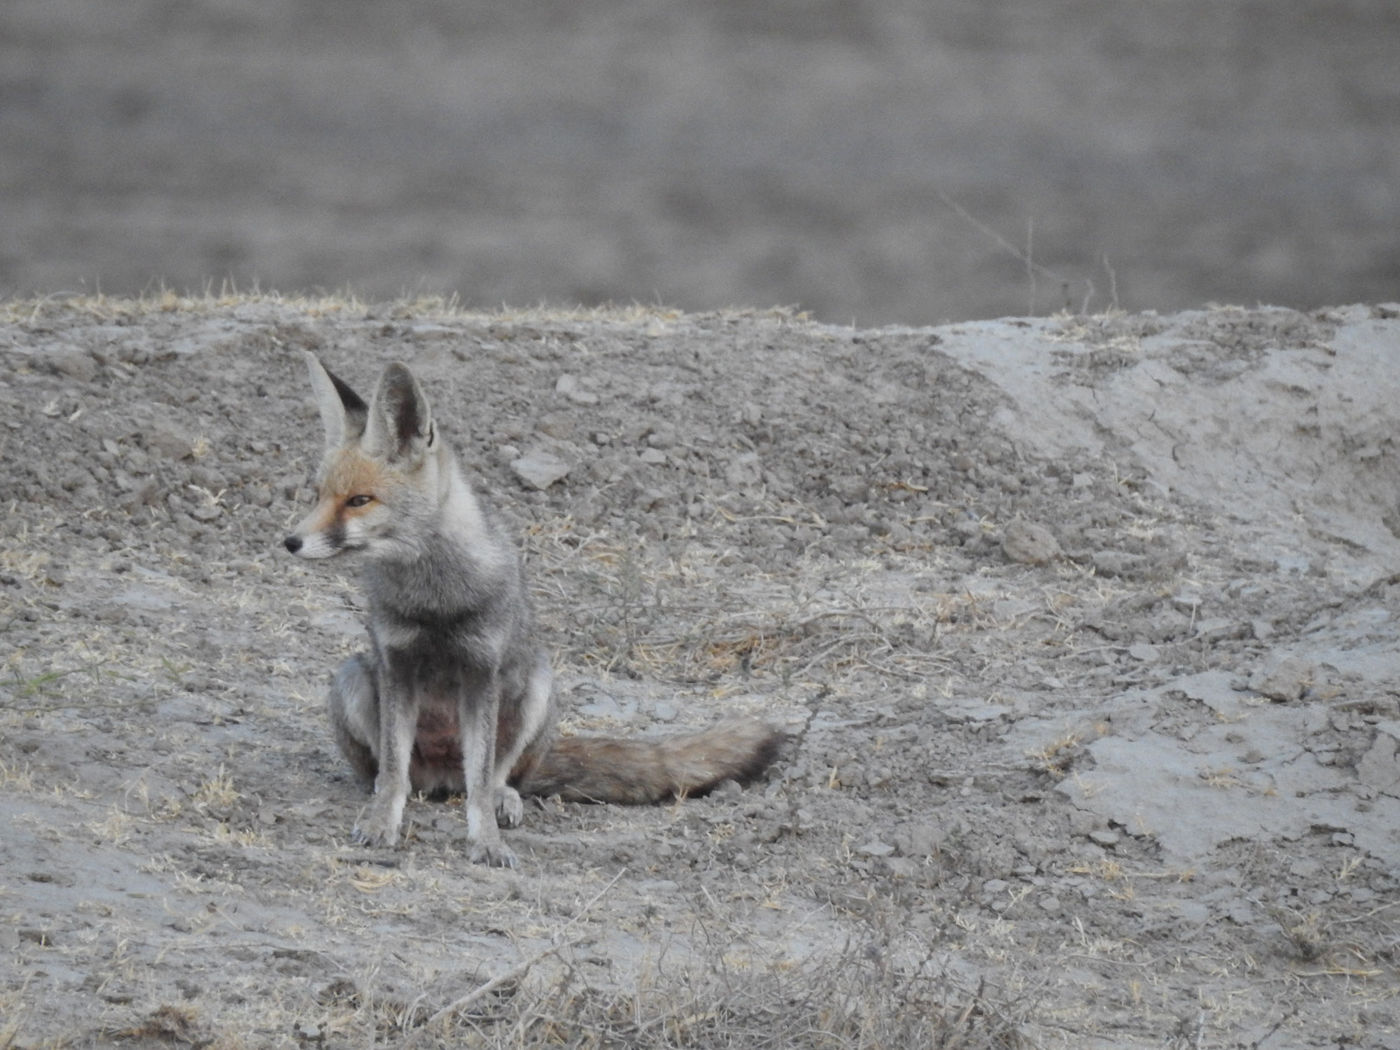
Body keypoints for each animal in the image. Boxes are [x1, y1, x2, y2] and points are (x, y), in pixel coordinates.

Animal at [278, 355, 784, 873]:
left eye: (359, 500)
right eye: (317, 495)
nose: (291, 542)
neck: (435, 601)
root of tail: (441, 779)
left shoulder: (481, 671)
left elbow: (480, 785)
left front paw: (487, 843)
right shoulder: (399, 665)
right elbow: (396, 771)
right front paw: (383, 824)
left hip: (536, 686)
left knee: (494, 777)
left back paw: (506, 798)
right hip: (354, 677)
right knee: (394, 773)